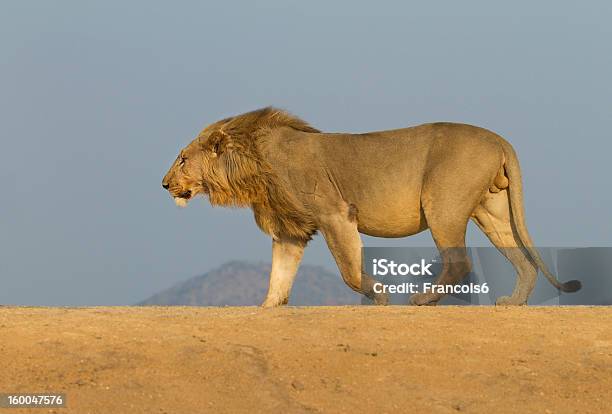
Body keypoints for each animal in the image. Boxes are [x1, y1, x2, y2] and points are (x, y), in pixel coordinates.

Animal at [160, 106, 580, 308]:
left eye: (181, 159)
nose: (163, 184)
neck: (251, 164)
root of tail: (499, 139)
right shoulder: (289, 231)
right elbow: (278, 277)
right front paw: (267, 308)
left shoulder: (335, 213)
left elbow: (349, 270)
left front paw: (379, 295)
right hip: (491, 211)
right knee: (524, 261)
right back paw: (514, 302)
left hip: (441, 203)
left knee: (459, 261)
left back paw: (423, 299)